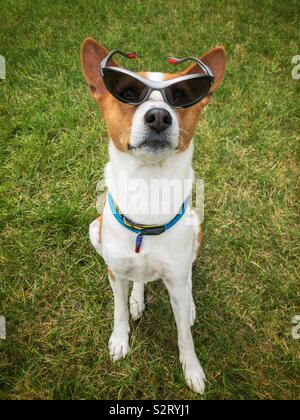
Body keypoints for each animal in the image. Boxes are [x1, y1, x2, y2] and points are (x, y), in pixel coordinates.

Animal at [79, 37, 225, 396]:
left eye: (182, 96)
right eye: (128, 92)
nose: (159, 116)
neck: (148, 188)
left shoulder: (177, 275)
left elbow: (184, 334)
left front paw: (192, 369)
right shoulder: (115, 273)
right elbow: (118, 310)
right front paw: (119, 340)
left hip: (196, 232)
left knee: (187, 280)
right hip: (94, 230)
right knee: (139, 280)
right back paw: (137, 298)